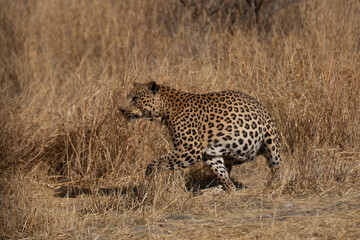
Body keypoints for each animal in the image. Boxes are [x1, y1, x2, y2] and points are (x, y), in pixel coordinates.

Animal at [121, 81, 282, 192]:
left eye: (135, 98)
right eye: (128, 97)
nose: (121, 109)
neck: (165, 110)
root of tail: (261, 106)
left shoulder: (190, 149)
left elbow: (157, 161)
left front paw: (149, 176)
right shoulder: (204, 152)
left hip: (271, 143)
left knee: (276, 169)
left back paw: (273, 186)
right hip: (220, 155)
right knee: (227, 177)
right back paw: (212, 190)